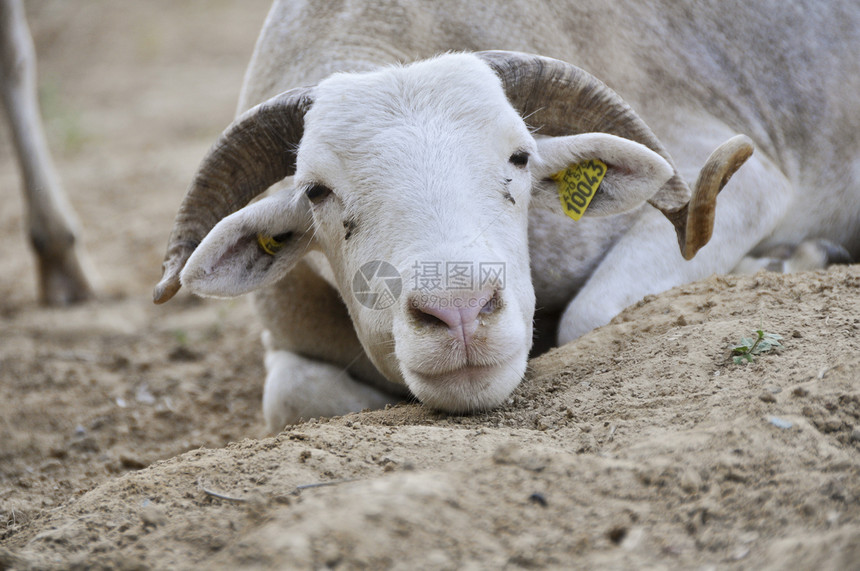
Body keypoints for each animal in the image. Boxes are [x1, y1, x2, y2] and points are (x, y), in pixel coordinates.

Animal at [155, 0, 860, 434]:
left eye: (520, 158)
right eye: (317, 192)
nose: (460, 314)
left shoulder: (746, 180)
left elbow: (590, 317)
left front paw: (783, 262)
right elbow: (290, 397)